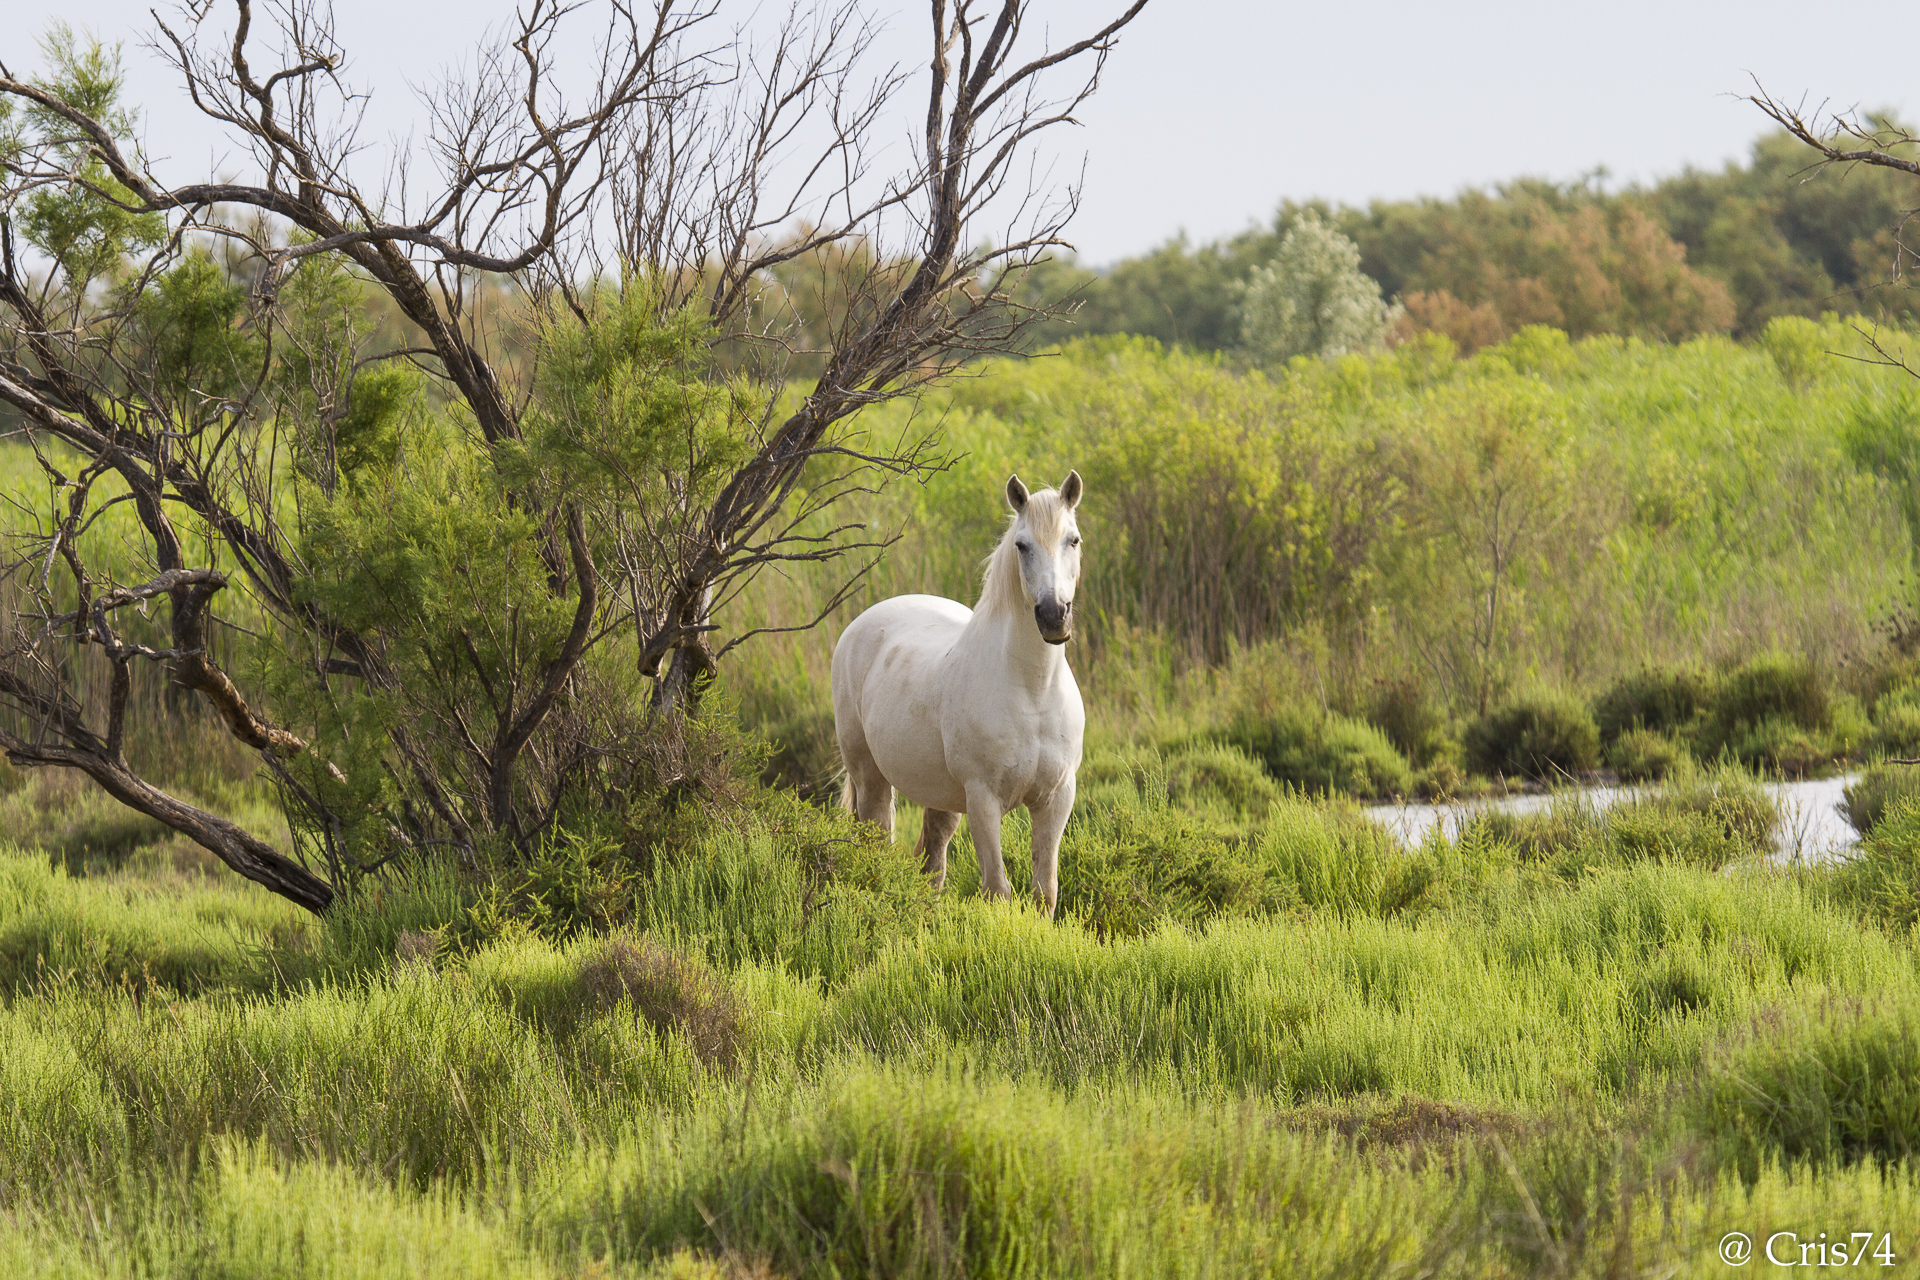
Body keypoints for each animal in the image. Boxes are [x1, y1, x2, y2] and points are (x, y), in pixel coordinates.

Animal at [831, 471, 1086, 917]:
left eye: (1073, 539)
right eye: (1022, 545)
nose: (1054, 616)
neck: (1033, 693)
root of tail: (858, 626)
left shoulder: (1056, 799)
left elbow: (1044, 893)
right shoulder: (983, 799)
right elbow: (997, 890)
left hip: (943, 798)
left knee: (930, 864)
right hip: (870, 777)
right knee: (877, 843)